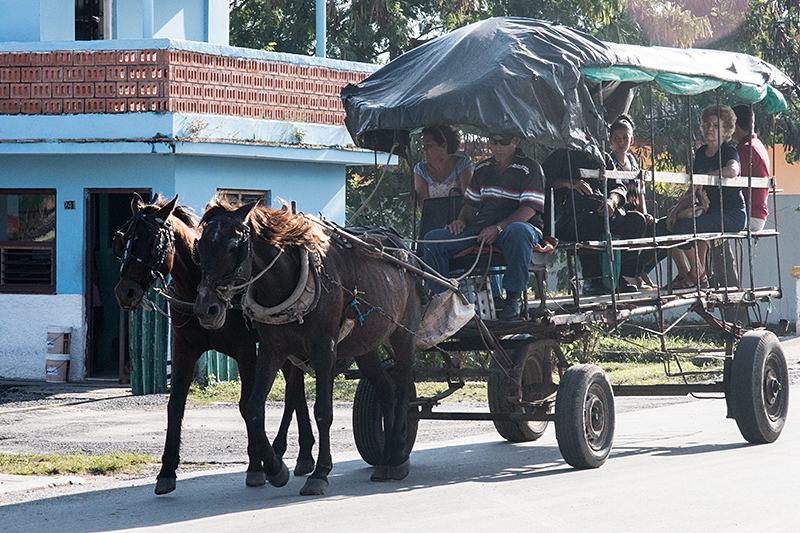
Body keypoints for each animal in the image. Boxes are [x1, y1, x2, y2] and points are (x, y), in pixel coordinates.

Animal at [113, 192, 318, 494]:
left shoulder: (246, 351)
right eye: (123, 239)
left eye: (153, 242)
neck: (197, 286)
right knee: (296, 390)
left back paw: (287, 452)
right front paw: (167, 471)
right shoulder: (184, 349)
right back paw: (300, 454)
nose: (124, 291)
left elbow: (247, 405)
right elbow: (175, 405)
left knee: (292, 391)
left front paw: (256, 467)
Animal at [192, 201, 424, 494]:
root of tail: (408, 253)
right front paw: (275, 468)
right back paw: (385, 460)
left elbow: (323, 411)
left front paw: (320, 473)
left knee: (403, 386)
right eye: (199, 248)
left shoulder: (325, 349)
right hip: (365, 346)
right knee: (386, 389)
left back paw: (398, 454)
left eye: (233, 246)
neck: (287, 284)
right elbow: (253, 408)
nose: (205, 309)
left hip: (404, 334)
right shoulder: (272, 350)